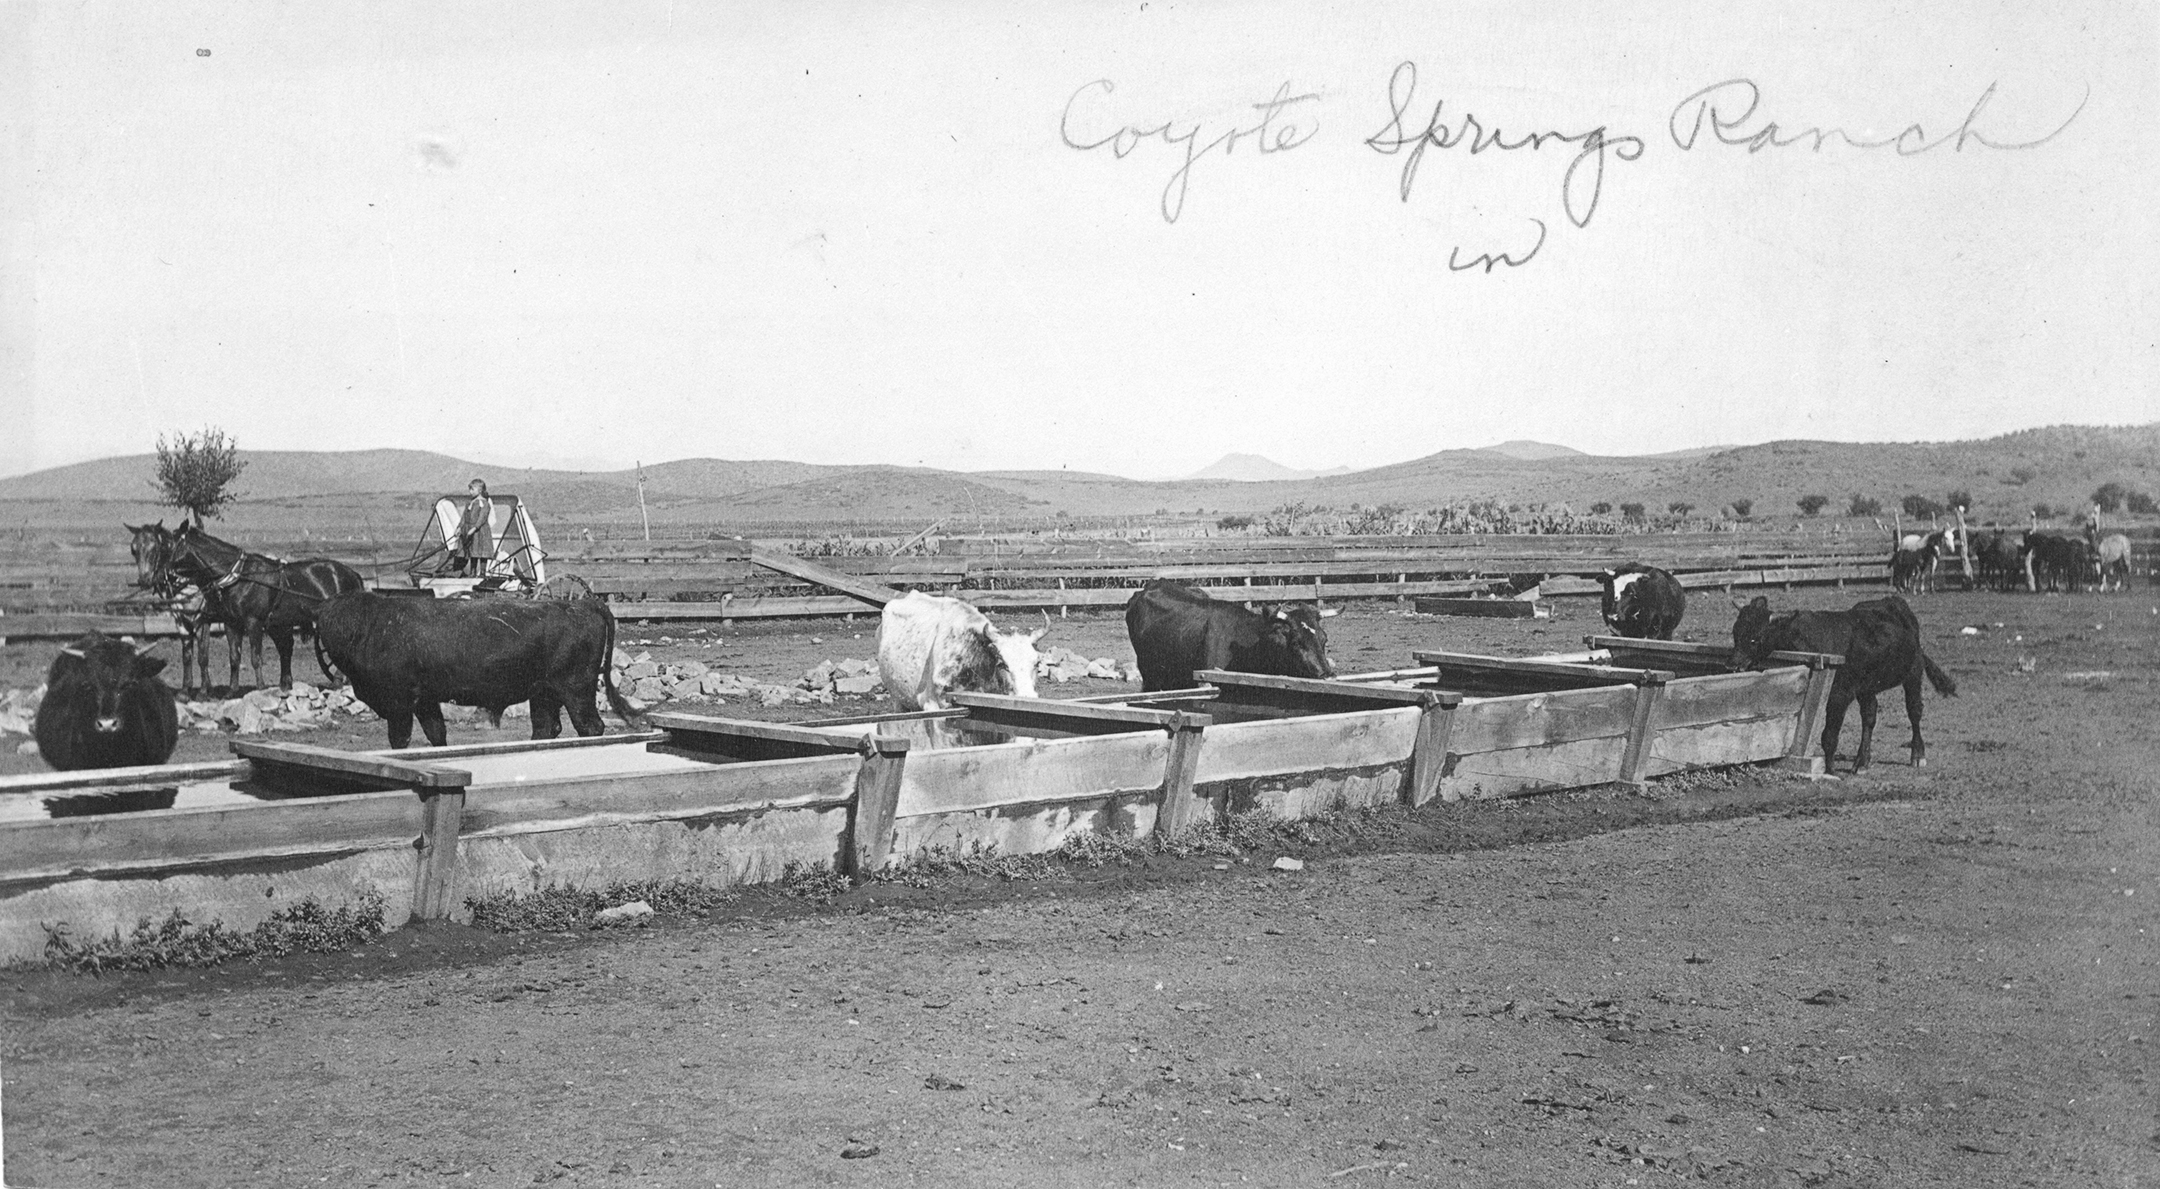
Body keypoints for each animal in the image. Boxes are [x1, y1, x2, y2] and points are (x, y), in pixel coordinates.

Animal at [129, 525, 362, 700]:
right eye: (134, 550)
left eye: (167, 545)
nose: (152, 578)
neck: (237, 576)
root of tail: (351, 573)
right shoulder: (230, 623)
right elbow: (233, 657)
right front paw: (230, 691)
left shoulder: (250, 622)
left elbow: (253, 657)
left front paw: (259, 688)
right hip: (279, 624)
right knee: (286, 648)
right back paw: (288, 685)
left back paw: (338, 680)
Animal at [315, 592, 639, 752]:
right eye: (327, 623)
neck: (373, 627)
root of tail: (580, 604)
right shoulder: (425, 702)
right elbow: (437, 735)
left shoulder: (399, 705)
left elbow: (400, 740)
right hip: (544, 694)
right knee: (546, 728)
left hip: (575, 690)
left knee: (589, 727)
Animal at [1719, 596, 1961, 773]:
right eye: (1735, 632)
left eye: (1756, 637)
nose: (1732, 665)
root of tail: (1894, 602)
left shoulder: (1839, 695)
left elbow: (1829, 736)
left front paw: (1830, 770)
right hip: (1867, 687)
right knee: (1869, 716)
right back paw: (1862, 762)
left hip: (1913, 674)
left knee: (1914, 712)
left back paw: (1917, 755)